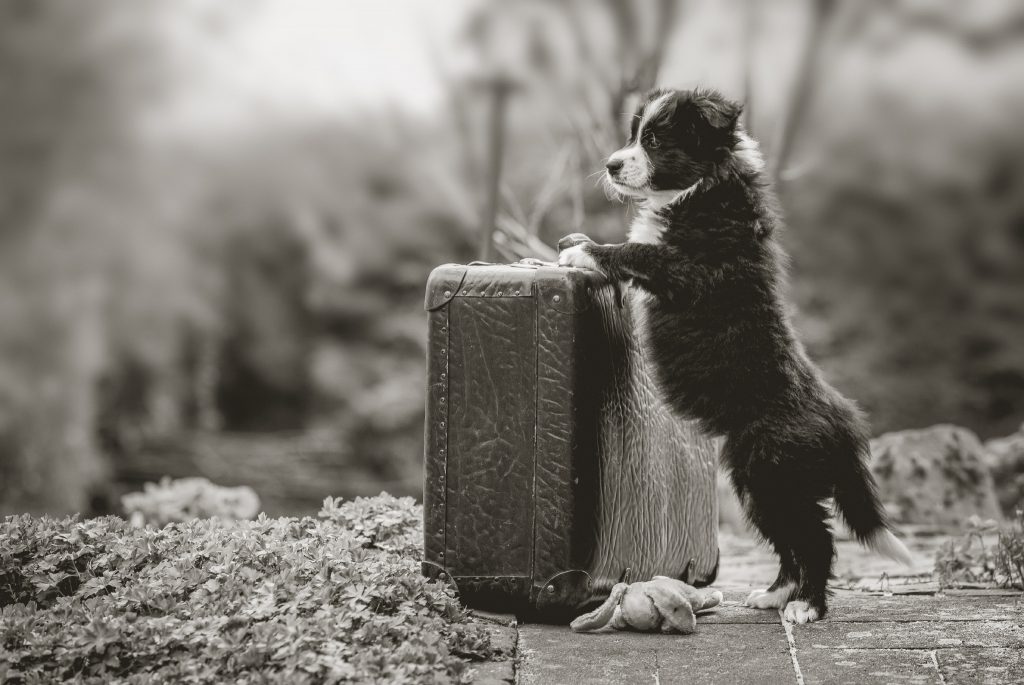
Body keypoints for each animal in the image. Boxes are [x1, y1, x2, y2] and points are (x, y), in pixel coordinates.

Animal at [561, 88, 913, 622]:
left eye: (655, 140)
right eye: (633, 134)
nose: (611, 164)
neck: (703, 190)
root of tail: (844, 425)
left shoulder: (687, 269)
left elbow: (638, 252)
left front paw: (586, 252)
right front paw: (577, 240)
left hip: (774, 472)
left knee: (815, 540)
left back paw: (806, 607)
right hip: (761, 483)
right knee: (794, 541)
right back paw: (775, 594)